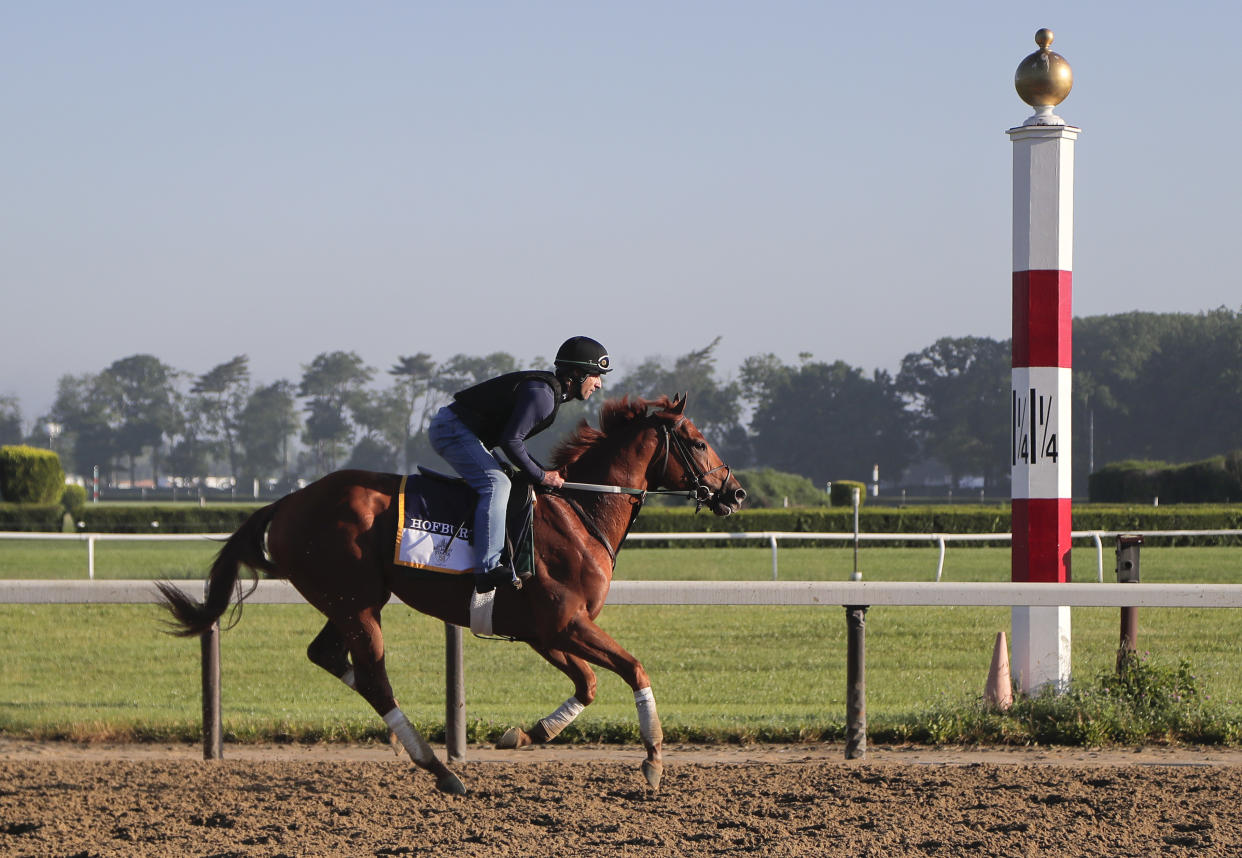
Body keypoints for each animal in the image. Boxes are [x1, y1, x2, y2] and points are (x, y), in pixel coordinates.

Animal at [154, 399, 735, 794]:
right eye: (697, 441)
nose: (736, 491)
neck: (578, 512)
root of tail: (288, 502)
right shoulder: (565, 622)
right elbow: (633, 667)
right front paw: (654, 759)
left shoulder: (542, 630)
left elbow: (588, 684)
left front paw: (524, 734)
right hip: (356, 603)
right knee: (374, 677)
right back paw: (437, 766)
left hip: (349, 600)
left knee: (329, 657)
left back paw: (414, 748)